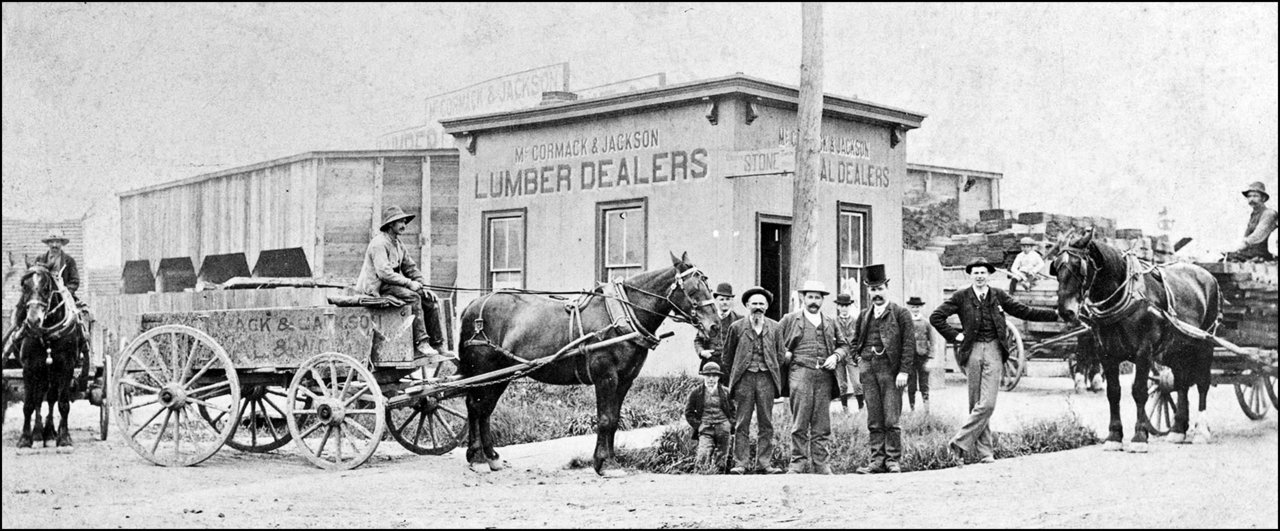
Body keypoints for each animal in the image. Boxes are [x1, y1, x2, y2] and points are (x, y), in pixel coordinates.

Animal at [13, 266, 85, 450]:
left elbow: (63, 403)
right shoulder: (28, 368)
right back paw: (39, 433)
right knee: (39, 398)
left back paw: (51, 432)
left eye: (46, 288)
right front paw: (25, 438)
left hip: (52, 372)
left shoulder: (66, 367)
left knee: (52, 397)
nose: (33, 320)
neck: (47, 335)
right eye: (24, 287)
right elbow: (29, 404)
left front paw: (64, 438)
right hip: (42, 372)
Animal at [458, 252, 721, 475]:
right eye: (693, 289)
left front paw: (608, 461)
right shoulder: (605, 376)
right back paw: (479, 458)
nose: (715, 325)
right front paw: (606, 464)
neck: (621, 315)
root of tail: (473, 305)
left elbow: (614, 419)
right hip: (485, 369)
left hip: (500, 373)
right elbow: (605, 419)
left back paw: (489, 457)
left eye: (707, 285)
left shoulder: (625, 379)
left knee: (484, 409)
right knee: (477, 407)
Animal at [1049, 229, 1218, 452]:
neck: (1125, 294)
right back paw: (1178, 430)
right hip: (1176, 349)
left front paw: (1139, 437)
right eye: (1057, 266)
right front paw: (1114, 436)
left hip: (1205, 344)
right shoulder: (1106, 354)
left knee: (1202, 383)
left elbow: (1139, 391)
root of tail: (1209, 276)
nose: (1065, 311)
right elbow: (1113, 392)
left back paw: (1201, 431)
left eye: (1080, 266)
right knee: (1181, 382)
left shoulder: (1143, 353)